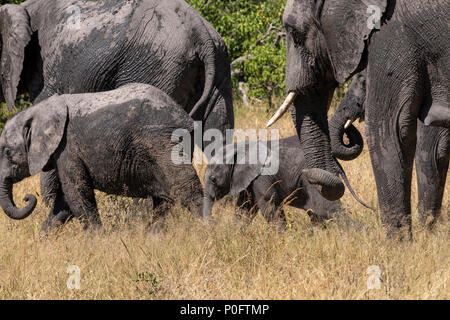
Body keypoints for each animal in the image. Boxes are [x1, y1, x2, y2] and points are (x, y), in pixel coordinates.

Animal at [0, 84, 202, 230]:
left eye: (7, 152)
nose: (26, 198)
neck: (37, 111)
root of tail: (185, 116)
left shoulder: (68, 148)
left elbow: (76, 193)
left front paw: (98, 240)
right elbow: (64, 201)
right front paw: (43, 240)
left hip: (162, 141)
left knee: (185, 187)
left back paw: (204, 231)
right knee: (164, 200)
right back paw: (153, 235)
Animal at [1, 0, 234, 205]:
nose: (26, 199)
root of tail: (201, 31)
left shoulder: (46, 72)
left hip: (158, 66)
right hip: (218, 66)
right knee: (218, 132)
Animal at [202, 136, 342, 226]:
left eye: (213, 179)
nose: (214, 221)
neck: (240, 147)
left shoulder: (262, 177)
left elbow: (269, 207)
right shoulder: (248, 180)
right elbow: (244, 207)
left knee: (326, 209)